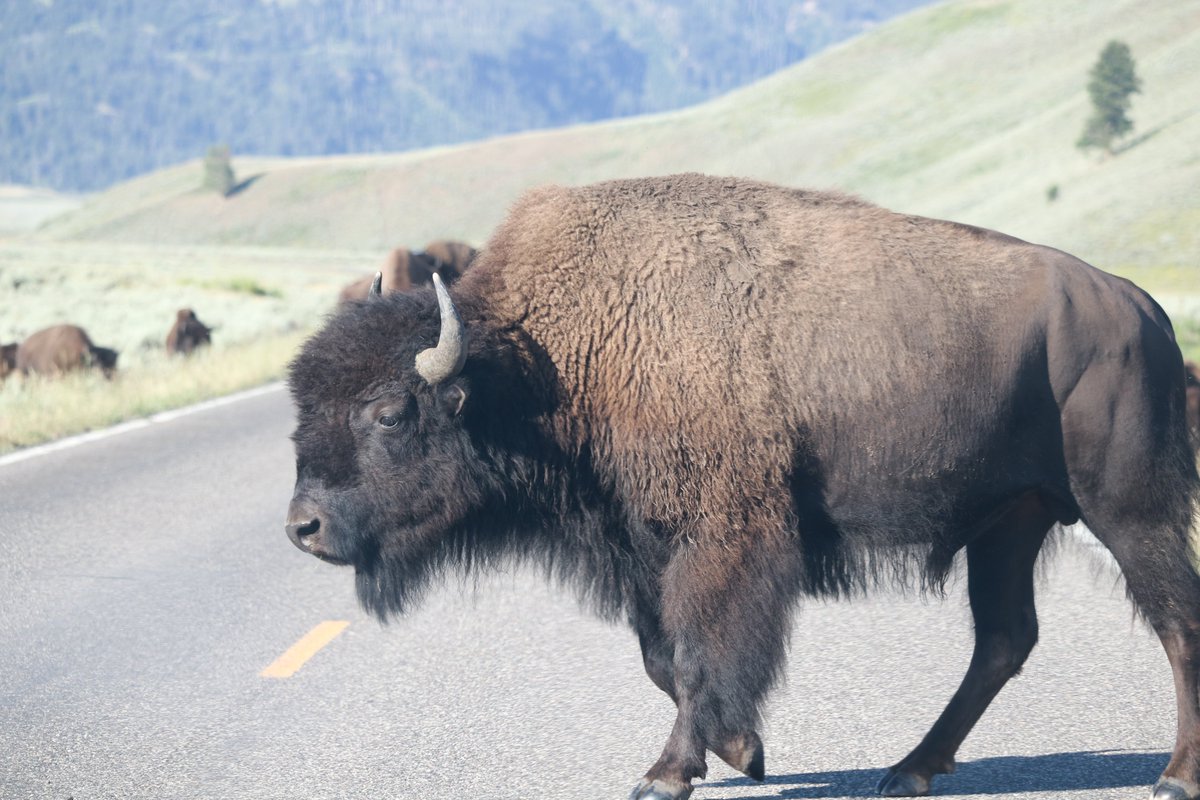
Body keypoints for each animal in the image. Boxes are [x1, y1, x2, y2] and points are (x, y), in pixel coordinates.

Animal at [283, 175, 1200, 800]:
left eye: (390, 413)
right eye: (305, 404)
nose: (303, 527)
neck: (548, 357)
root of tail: (1144, 310)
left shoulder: (723, 541)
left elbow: (697, 656)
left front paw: (667, 774)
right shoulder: (644, 551)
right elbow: (663, 658)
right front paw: (744, 750)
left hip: (1129, 511)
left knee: (1175, 621)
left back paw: (1173, 776)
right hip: (1010, 522)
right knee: (1004, 639)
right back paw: (909, 769)